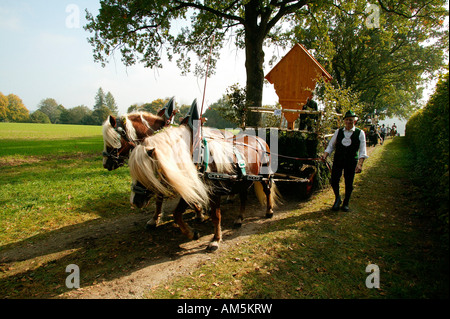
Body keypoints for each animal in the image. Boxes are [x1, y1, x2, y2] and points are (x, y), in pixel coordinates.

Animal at [128, 125, 280, 252]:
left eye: (145, 173)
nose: (134, 201)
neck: (198, 161)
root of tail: (260, 139)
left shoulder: (214, 193)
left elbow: (216, 216)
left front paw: (215, 240)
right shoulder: (192, 189)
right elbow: (177, 214)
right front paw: (192, 233)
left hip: (264, 175)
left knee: (267, 191)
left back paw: (269, 211)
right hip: (243, 180)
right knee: (243, 197)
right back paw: (239, 218)